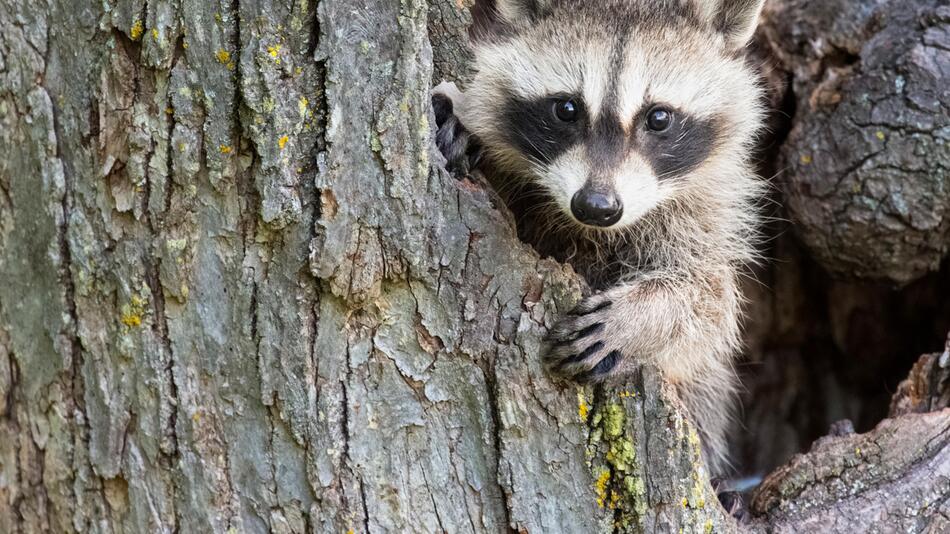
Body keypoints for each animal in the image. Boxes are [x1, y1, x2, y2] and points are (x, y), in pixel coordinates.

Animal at [436, 0, 768, 478]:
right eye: (566, 109)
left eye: (659, 117)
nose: (596, 205)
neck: (593, 231)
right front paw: (460, 120)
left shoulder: (706, 216)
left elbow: (710, 304)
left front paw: (644, 318)